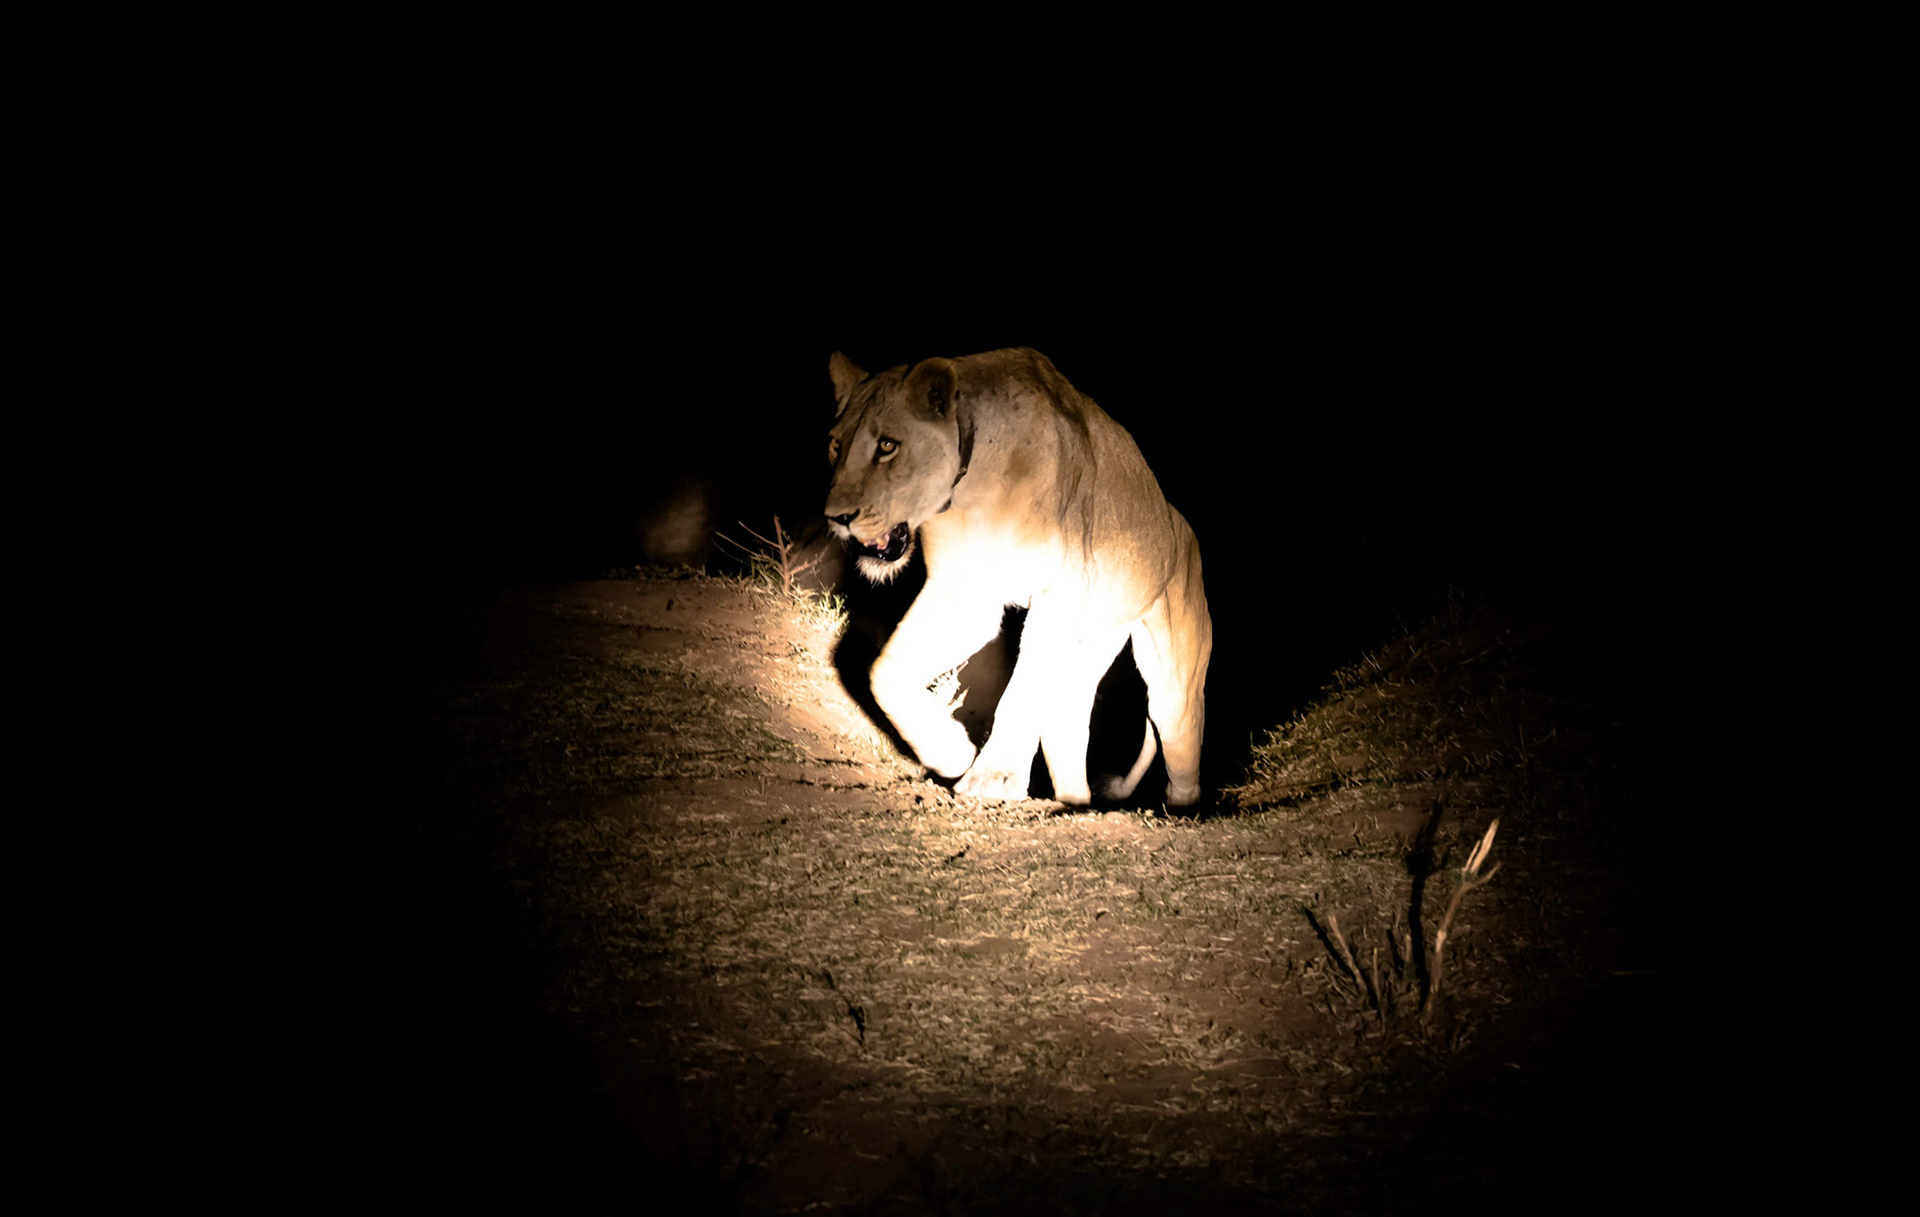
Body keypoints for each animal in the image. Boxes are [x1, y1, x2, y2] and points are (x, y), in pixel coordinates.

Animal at [825, 347, 1211, 806]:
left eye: (887, 446)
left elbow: (1021, 691)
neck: (970, 494)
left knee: (1182, 766)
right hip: (1091, 644)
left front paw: (993, 777)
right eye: (835, 446)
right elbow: (884, 671)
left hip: (1174, 691)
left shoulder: (1057, 595)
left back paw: (1182, 812)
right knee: (1065, 727)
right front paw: (950, 751)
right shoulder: (964, 595)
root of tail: (1176, 520)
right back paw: (1073, 806)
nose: (836, 518)